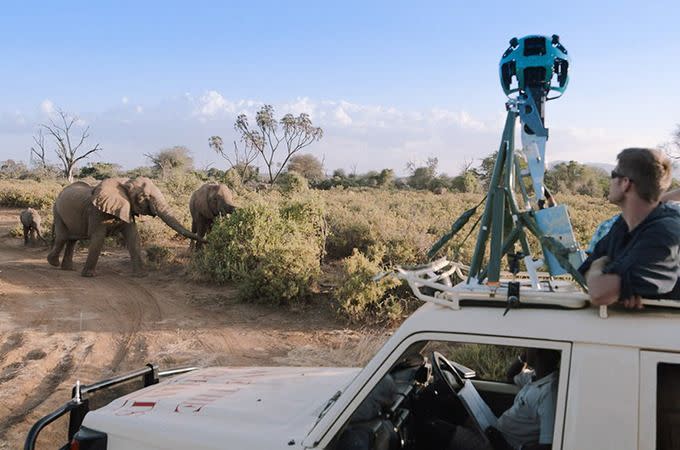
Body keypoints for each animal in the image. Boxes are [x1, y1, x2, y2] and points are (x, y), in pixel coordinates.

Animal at [48, 177, 205, 276]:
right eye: (143, 197)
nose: (207, 241)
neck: (124, 183)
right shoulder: (97, 212)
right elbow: (98, 238)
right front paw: (88, 275)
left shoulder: (127, 208)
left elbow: (133, 237)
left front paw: (141, 275)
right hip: (57, 211)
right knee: (62, 237)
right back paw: (53, 263)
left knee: (72, 240)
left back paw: (67, 269)